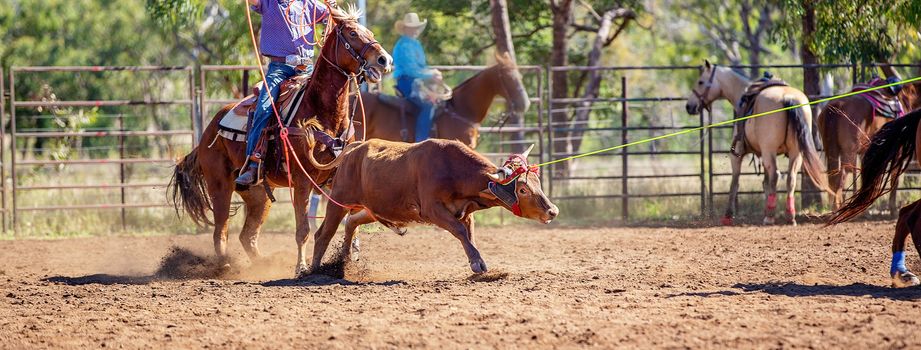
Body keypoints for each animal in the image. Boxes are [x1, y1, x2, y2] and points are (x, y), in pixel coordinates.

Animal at [169, 6, 392, 276]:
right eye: (352, 33)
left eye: (370, 32)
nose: (384, 60)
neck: (321, 112)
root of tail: (209, 130)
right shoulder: (302, 181)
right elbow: (303, 230)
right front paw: (301, 267)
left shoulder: (338, 178)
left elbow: (351, 220)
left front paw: (348, 260)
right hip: (219, 185)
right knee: (220, 231)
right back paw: (226, 267)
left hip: (258, 194)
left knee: (247, 236)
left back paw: (262, 265)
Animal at [684, 61, 832, 226]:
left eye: (700, 82)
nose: (689, 106)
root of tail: (788, 98)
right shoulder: (764, 155)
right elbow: (765, 183)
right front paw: (768, 208)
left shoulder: (737, 154)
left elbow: (735, 183)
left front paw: (728, 215)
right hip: (795, 152)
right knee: (790, 178)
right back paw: (789, 216)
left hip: (770, 150)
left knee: (775, 175)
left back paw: (770, 218)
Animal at [816, 78, 916, 212]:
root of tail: (835, 108)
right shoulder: (898, 152)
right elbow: (894, 178)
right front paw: (893, 209)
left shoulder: (865, 152)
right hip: (848, 152)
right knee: (841, 175)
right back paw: (838, 208)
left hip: (832, 150)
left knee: (834, 176)